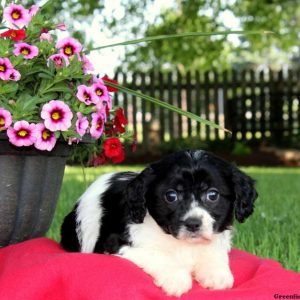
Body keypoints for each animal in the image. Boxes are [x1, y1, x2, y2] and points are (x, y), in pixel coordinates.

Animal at [61, 151, 258, 296]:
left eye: (212, 195)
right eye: (171, 196)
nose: (193, 224)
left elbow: (214, 250)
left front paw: (216, 273)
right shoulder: (115, 243)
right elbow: (156, 255)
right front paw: (176, 278)